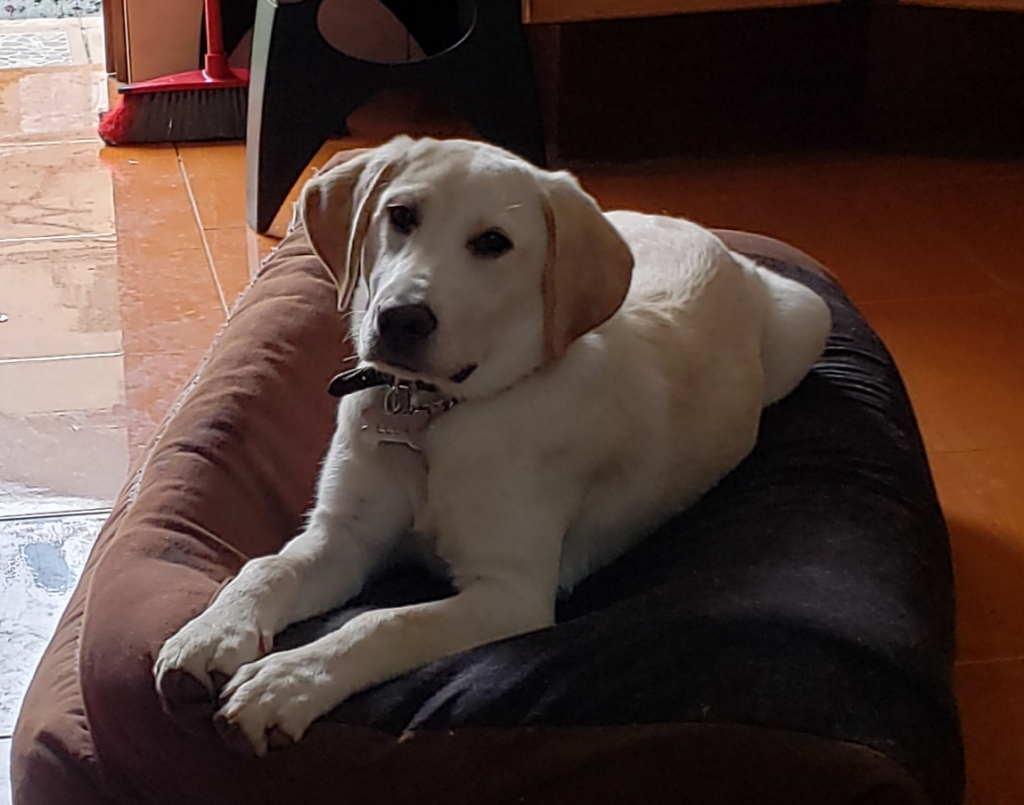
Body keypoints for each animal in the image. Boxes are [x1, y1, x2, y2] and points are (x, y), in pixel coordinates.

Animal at [154, 136, 831, 755]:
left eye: (493, 244)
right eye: (401, 215)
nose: (400, 319)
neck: (431, 415)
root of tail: (699, 229)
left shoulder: (509, 594)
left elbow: (384, 622)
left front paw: (287, 681)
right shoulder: (343, 536)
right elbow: (266, 568)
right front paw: (215, 631)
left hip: (808, 317)